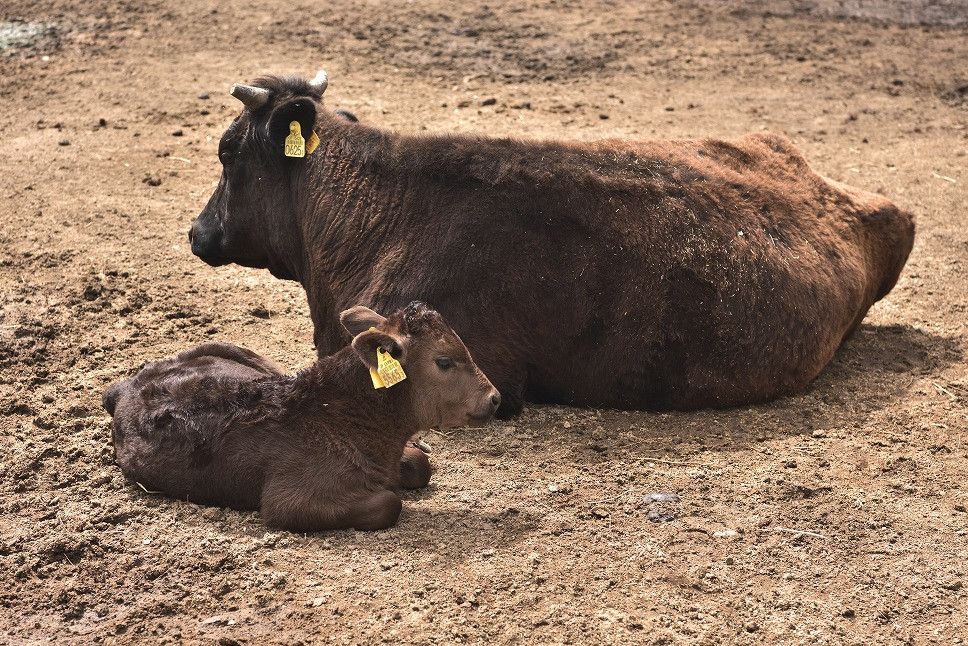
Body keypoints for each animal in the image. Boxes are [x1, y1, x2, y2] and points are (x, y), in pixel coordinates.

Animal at [103, 304, 500, 532]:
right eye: (444, 361)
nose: (495, 398)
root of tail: (125, 387)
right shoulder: (288, 503)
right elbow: (390, 503)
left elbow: (420, 465)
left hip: (244, 353)